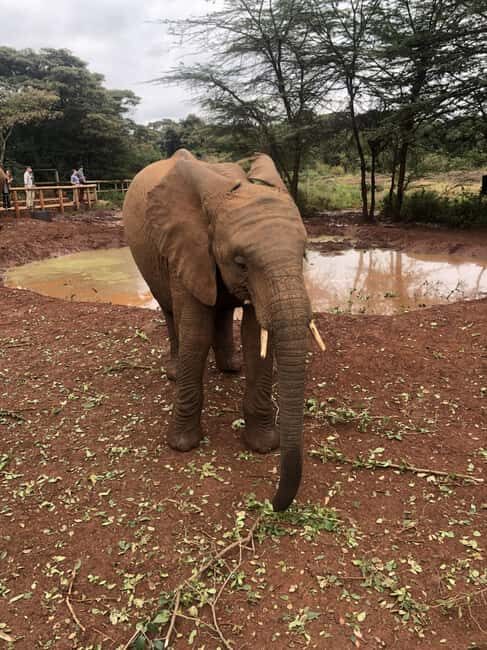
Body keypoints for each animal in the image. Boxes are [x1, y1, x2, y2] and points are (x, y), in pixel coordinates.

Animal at [123, 149, 325, 511]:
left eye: (303, 254)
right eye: (241, 262)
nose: (272, 503)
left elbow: (256, 334)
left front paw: (262, 445)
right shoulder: (185, 249)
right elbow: (195, 331)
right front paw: (182, 445)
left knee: (223, 309)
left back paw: (231, 367)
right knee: (170, 312)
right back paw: (175, 371)